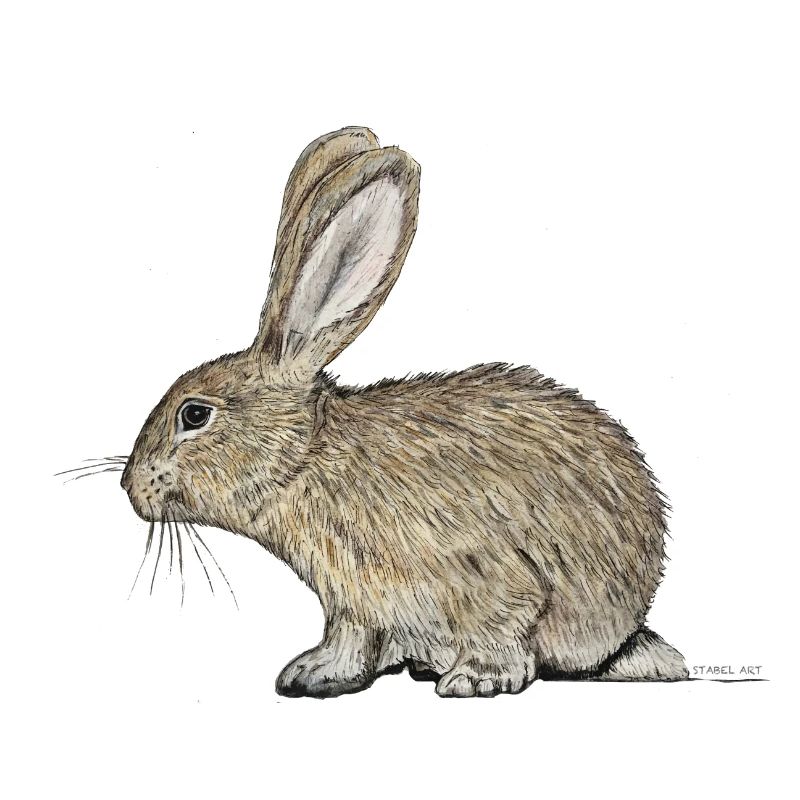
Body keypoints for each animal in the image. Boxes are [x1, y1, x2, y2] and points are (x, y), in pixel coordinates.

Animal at [120, 126, 688, 698]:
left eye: (194, 415)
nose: (131, 487)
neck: (306, 461)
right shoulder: (352, 605)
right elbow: (350, 640)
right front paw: (313, 673)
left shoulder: (483, 575)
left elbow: (504, 627)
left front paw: (474, 680)